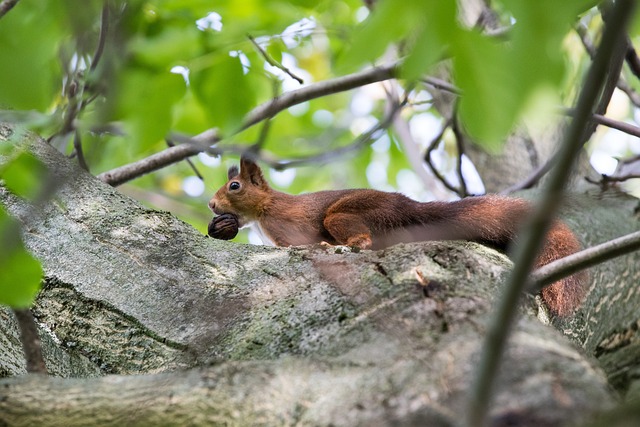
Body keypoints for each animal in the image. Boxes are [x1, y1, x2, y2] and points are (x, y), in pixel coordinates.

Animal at [209, 158, 584, 318]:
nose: (211, 205)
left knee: (361, 238)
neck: (266, 208)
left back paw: (342, 244)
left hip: (344, 214)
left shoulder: (290, 221)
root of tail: (408, 208)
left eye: (234, 186)